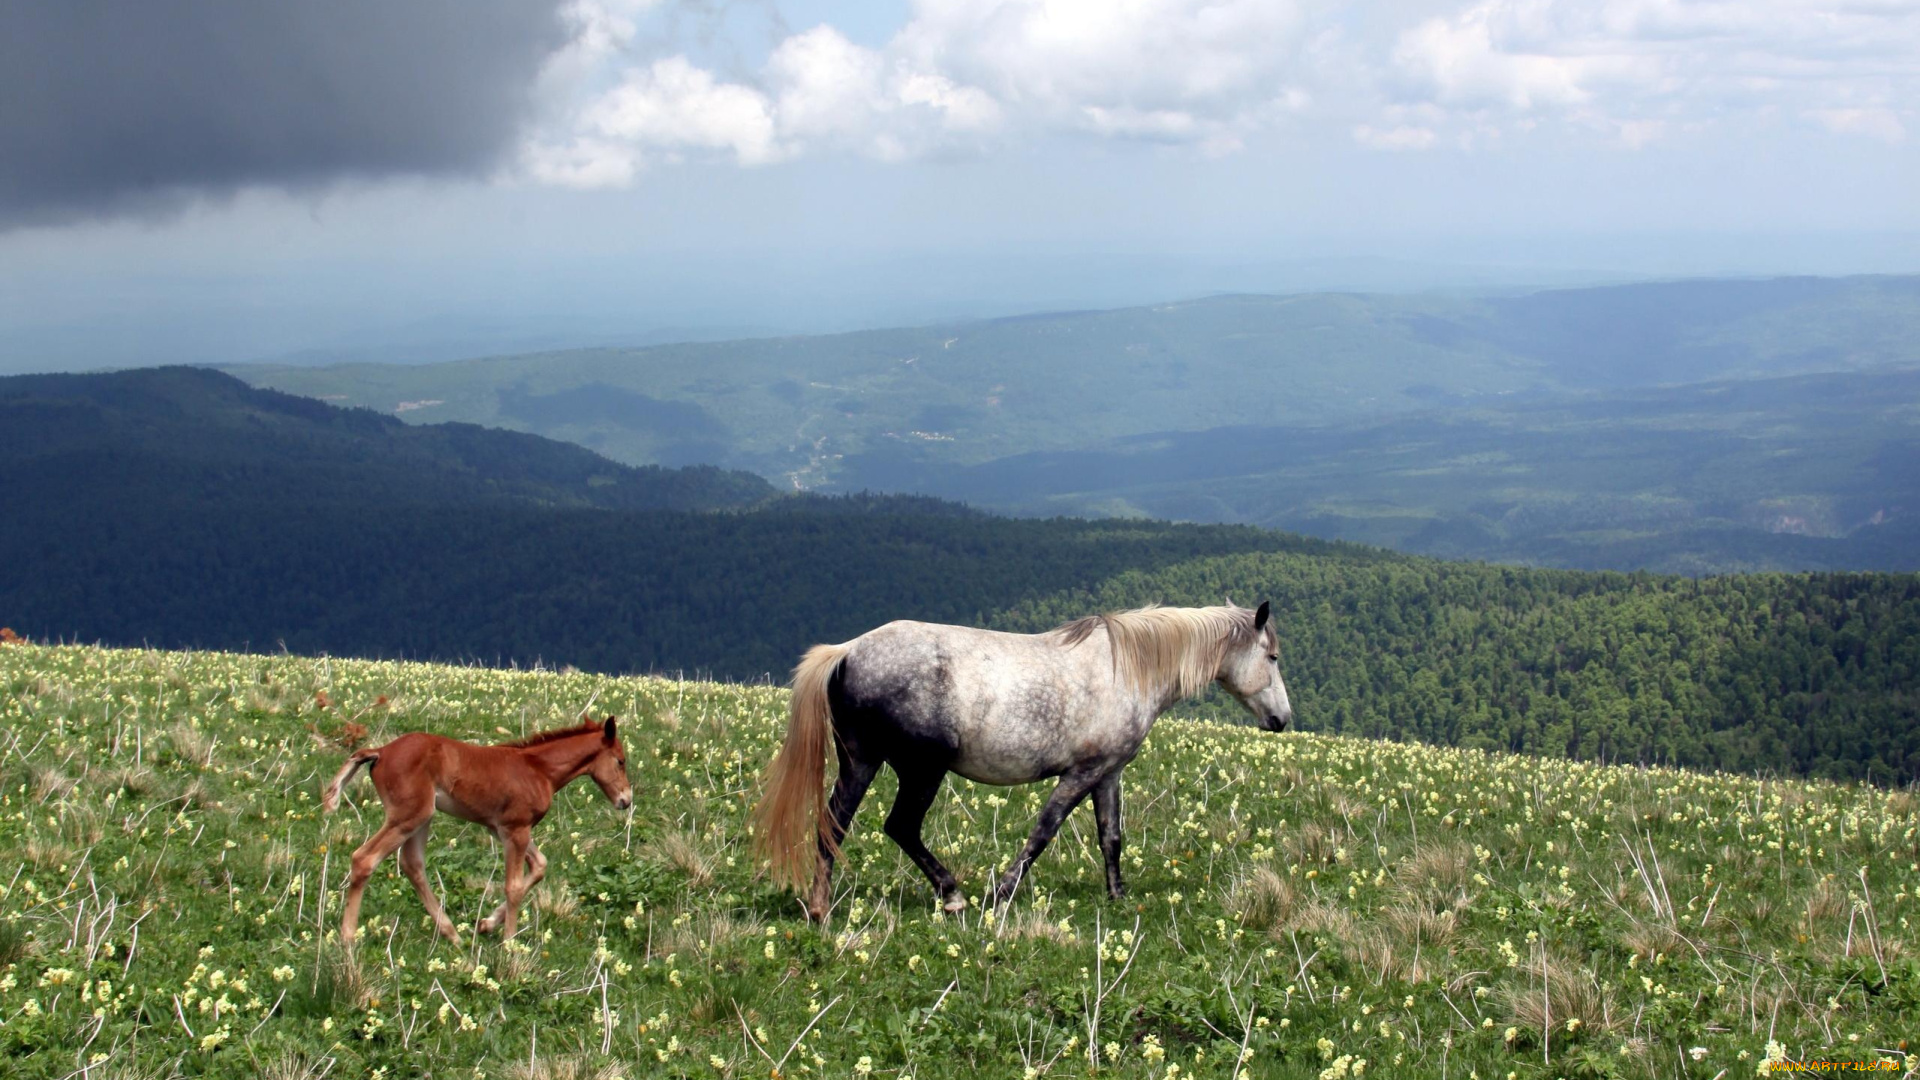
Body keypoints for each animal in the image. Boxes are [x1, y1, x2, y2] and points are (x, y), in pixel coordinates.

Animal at [322, 714, 629, 941]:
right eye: (621, 760)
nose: (626, 799)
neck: (538, 769)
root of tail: (381, 751)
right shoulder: (516, 829)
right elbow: (514, 886)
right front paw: (509, 945)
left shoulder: (502, 829)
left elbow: (540, 866)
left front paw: (486, 924)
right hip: (408, 816)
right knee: (365, 859)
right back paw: (348, 939)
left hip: (421, 818)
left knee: (412, 865)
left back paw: (453, 936)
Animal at [748, 599, 1290, 910]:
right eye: (1272, 656)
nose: (1282, 719)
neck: (1127, 669)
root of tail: (847, 650)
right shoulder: (1081, 772)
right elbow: (1043, 831)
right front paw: (1001, 893)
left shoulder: (1108, 774)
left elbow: (1111, 837)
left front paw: (1118, 897)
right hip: (922, 770)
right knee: (900, 826)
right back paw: (953, 896)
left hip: (860, 762)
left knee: (833, 825)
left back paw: (820, 908)